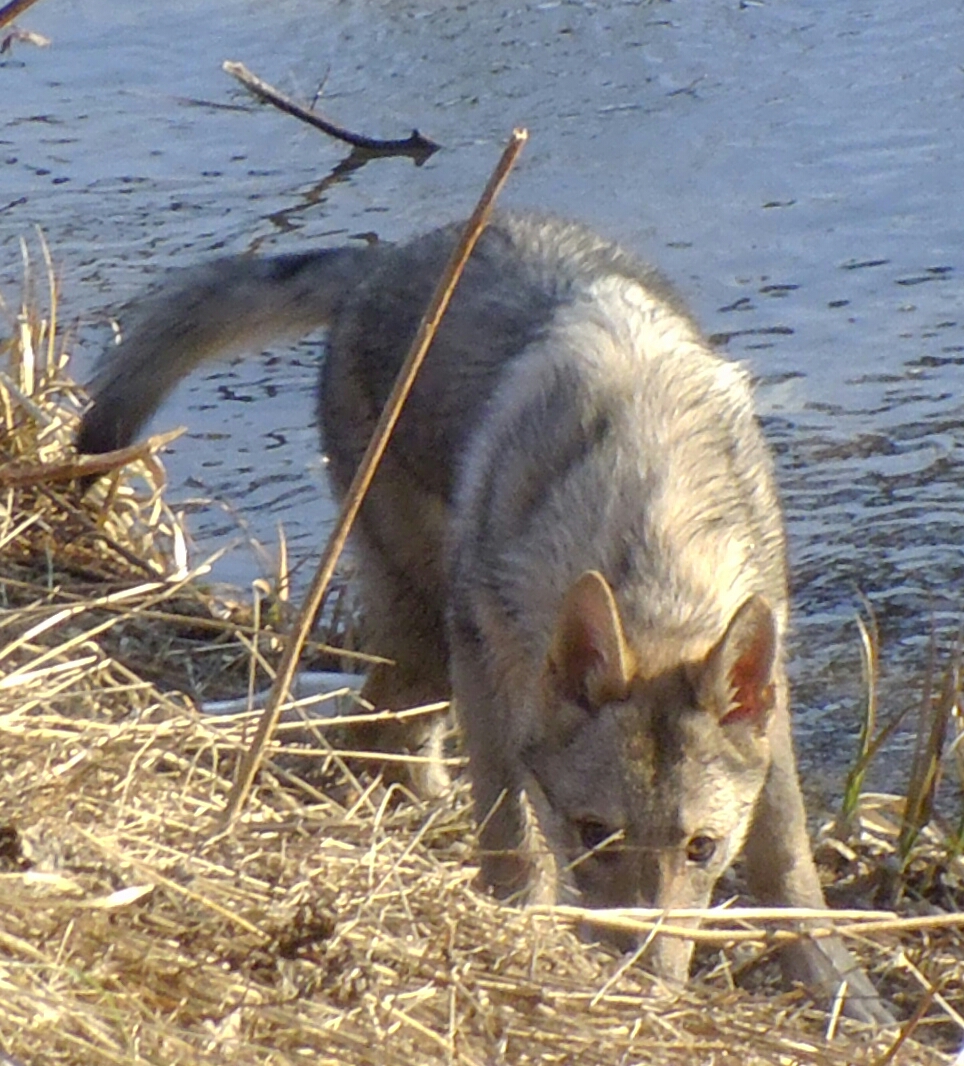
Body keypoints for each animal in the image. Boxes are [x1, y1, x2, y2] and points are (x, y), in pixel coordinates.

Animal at [77, 211, 892, 1024]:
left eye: (701, 848)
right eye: (592, 833)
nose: (638, 990)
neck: (648, 522)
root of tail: (386, 259)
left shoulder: (771, 714)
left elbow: (789, 873)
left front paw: (844, 993)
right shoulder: (485, 665)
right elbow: (512, 839)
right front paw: (521, 931)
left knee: (389, 741)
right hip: (428, 637)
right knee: (378, 736)